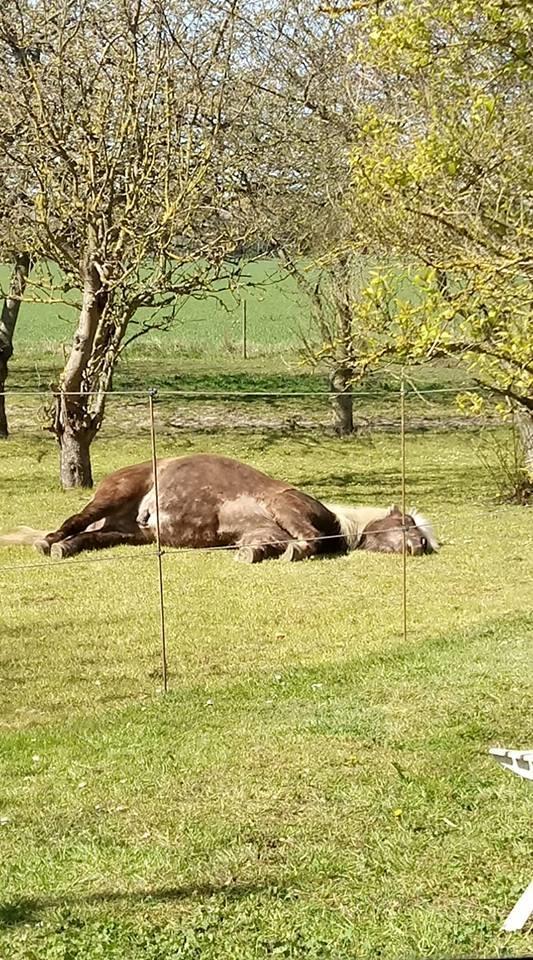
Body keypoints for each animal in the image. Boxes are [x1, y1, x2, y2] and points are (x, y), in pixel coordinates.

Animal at [2, 452, 438, 564]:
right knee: (73, 522)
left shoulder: (261, 530)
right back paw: (49, 542)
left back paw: (64, 548)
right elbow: (308, 539)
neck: (336, 520)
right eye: (406, 522)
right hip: (111, 496)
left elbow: (263, 546)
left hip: (132, 532)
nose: (421, 546)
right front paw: (295, 552)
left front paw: (254, 555)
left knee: (91, 537)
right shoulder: (286, 508)